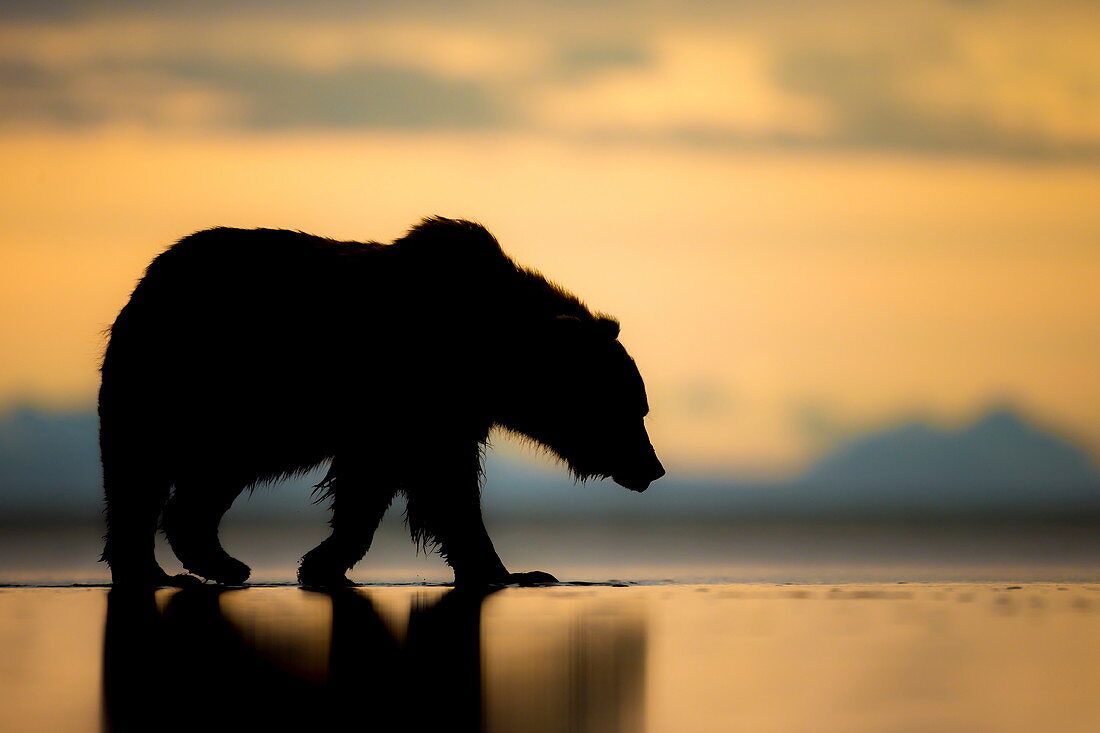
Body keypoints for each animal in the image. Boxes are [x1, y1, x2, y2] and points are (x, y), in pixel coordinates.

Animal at [101, 217, 660, 589]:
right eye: (631, 408)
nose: (653, 468)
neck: (489, 353)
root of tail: (148, 280)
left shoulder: (431, 412)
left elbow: (379, 485)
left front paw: (322, 563)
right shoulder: (412, 394)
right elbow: (441, 486)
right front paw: (515, 571)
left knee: (195, 482)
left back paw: (213, 561)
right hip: (186, 385)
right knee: (140, 474)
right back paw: (162, 570)